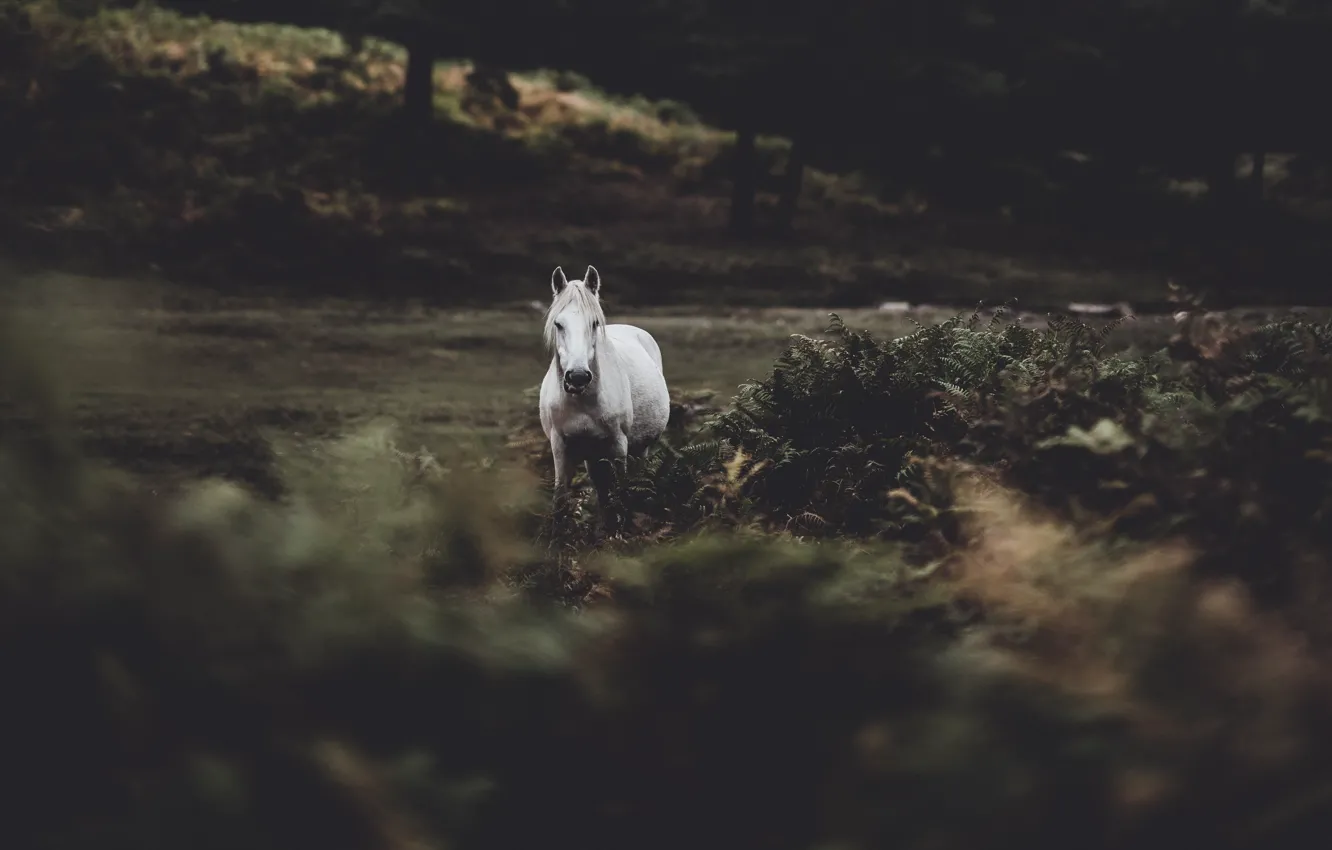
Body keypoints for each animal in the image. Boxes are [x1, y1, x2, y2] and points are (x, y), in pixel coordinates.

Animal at [538, 264, 670, 533]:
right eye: (558, 324)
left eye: (594, 323)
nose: (578, 377)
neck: (582, 402)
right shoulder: (559, 446)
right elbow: (560, 499)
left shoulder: (618, 445)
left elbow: (620, 493)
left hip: (640, 449)